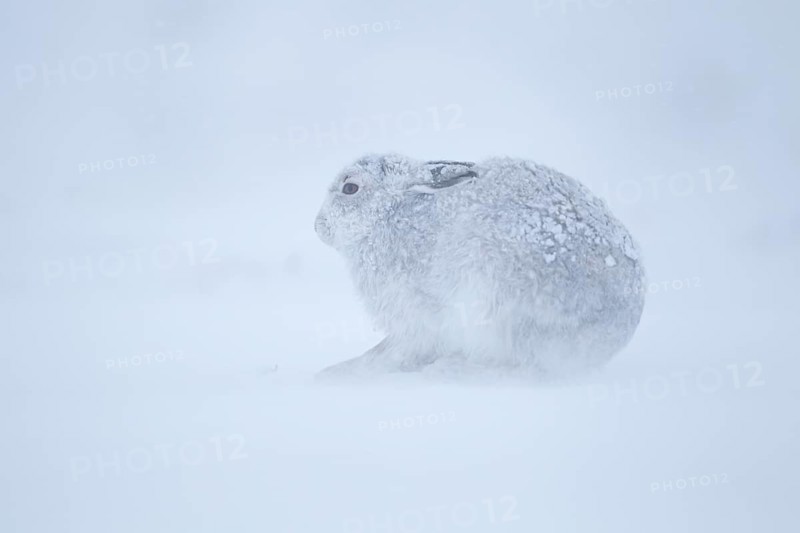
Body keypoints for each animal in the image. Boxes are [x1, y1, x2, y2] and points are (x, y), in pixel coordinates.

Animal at [314, 154, 645, 381]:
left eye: (350, 188)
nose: (318, 227)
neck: (391, 212)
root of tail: (610, 335)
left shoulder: (415, 314)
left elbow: (396, 350)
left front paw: (341, 373)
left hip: (500, 304)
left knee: (522, 369)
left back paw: (450, 370)